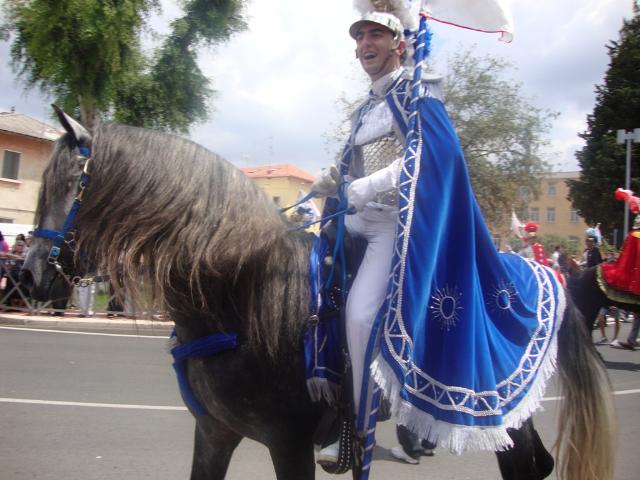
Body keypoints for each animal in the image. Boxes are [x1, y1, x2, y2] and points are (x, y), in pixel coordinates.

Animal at [20, 111, 616, 480]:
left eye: (72, 186)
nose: (29, 277)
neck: (240, 298)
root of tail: (543, 273)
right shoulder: (214, 433)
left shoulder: (288, 445)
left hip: (505, 414)